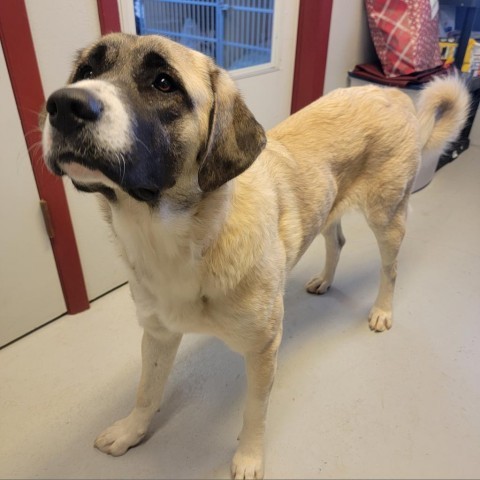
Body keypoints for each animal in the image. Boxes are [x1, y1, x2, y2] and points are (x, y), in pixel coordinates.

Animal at [41, 31, 468, 478]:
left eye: (163, 83)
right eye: (86, 70)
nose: (64, 105)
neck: (179, 236)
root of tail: (393, 94)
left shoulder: (263, 349)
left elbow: (254, 412)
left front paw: (248, 457)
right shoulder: (157, 334)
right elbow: (146, 391)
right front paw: (131, 432)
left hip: (387, 218)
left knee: (391, 269)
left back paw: (382, 310)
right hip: (329, 204)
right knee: (336, 241)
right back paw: (325, 280)